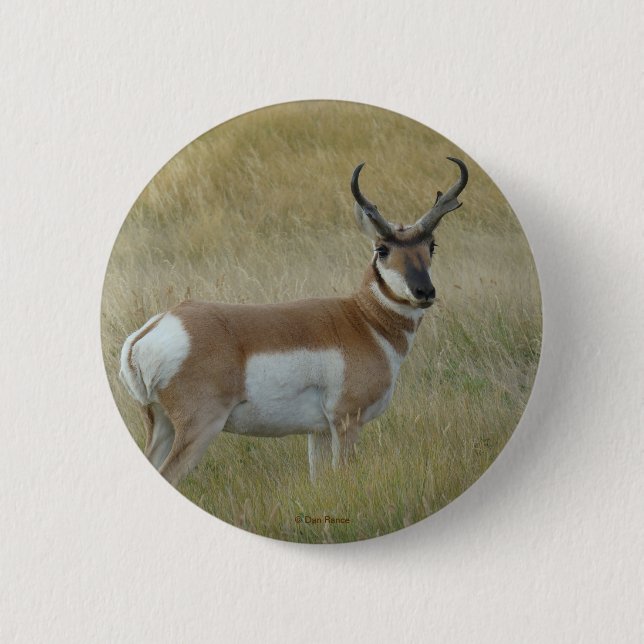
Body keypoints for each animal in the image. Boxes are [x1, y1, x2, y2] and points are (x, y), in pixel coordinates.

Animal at [120, 157, 468, 486]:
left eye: (431, 245)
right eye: (382, 249)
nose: (424, 291)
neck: (364, 321)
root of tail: (152, 331)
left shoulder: (319, 431)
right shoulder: (346, 421)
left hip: (162, 427)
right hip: (200, 428)